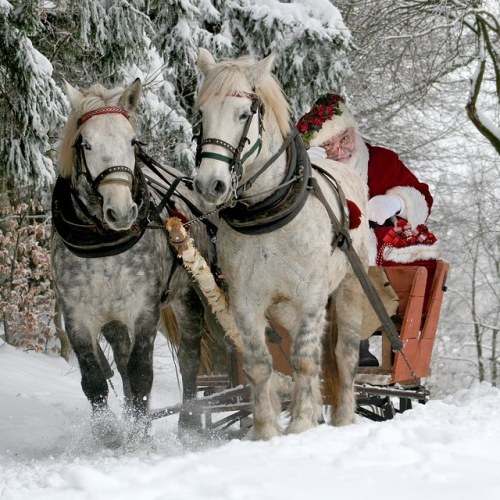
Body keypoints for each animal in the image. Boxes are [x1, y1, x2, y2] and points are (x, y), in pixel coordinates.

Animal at [193, 48, 374, 440]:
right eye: (201, 114)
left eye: (244, 113)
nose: (209, 185)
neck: (268, 212)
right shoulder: (246, 300)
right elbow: (260, 364)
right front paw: (266, 430)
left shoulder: (312, 294)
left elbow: (304, 359)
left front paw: (302, 423)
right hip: (284, 309)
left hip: (350, 287)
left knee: (344, 354)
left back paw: (342, 417)